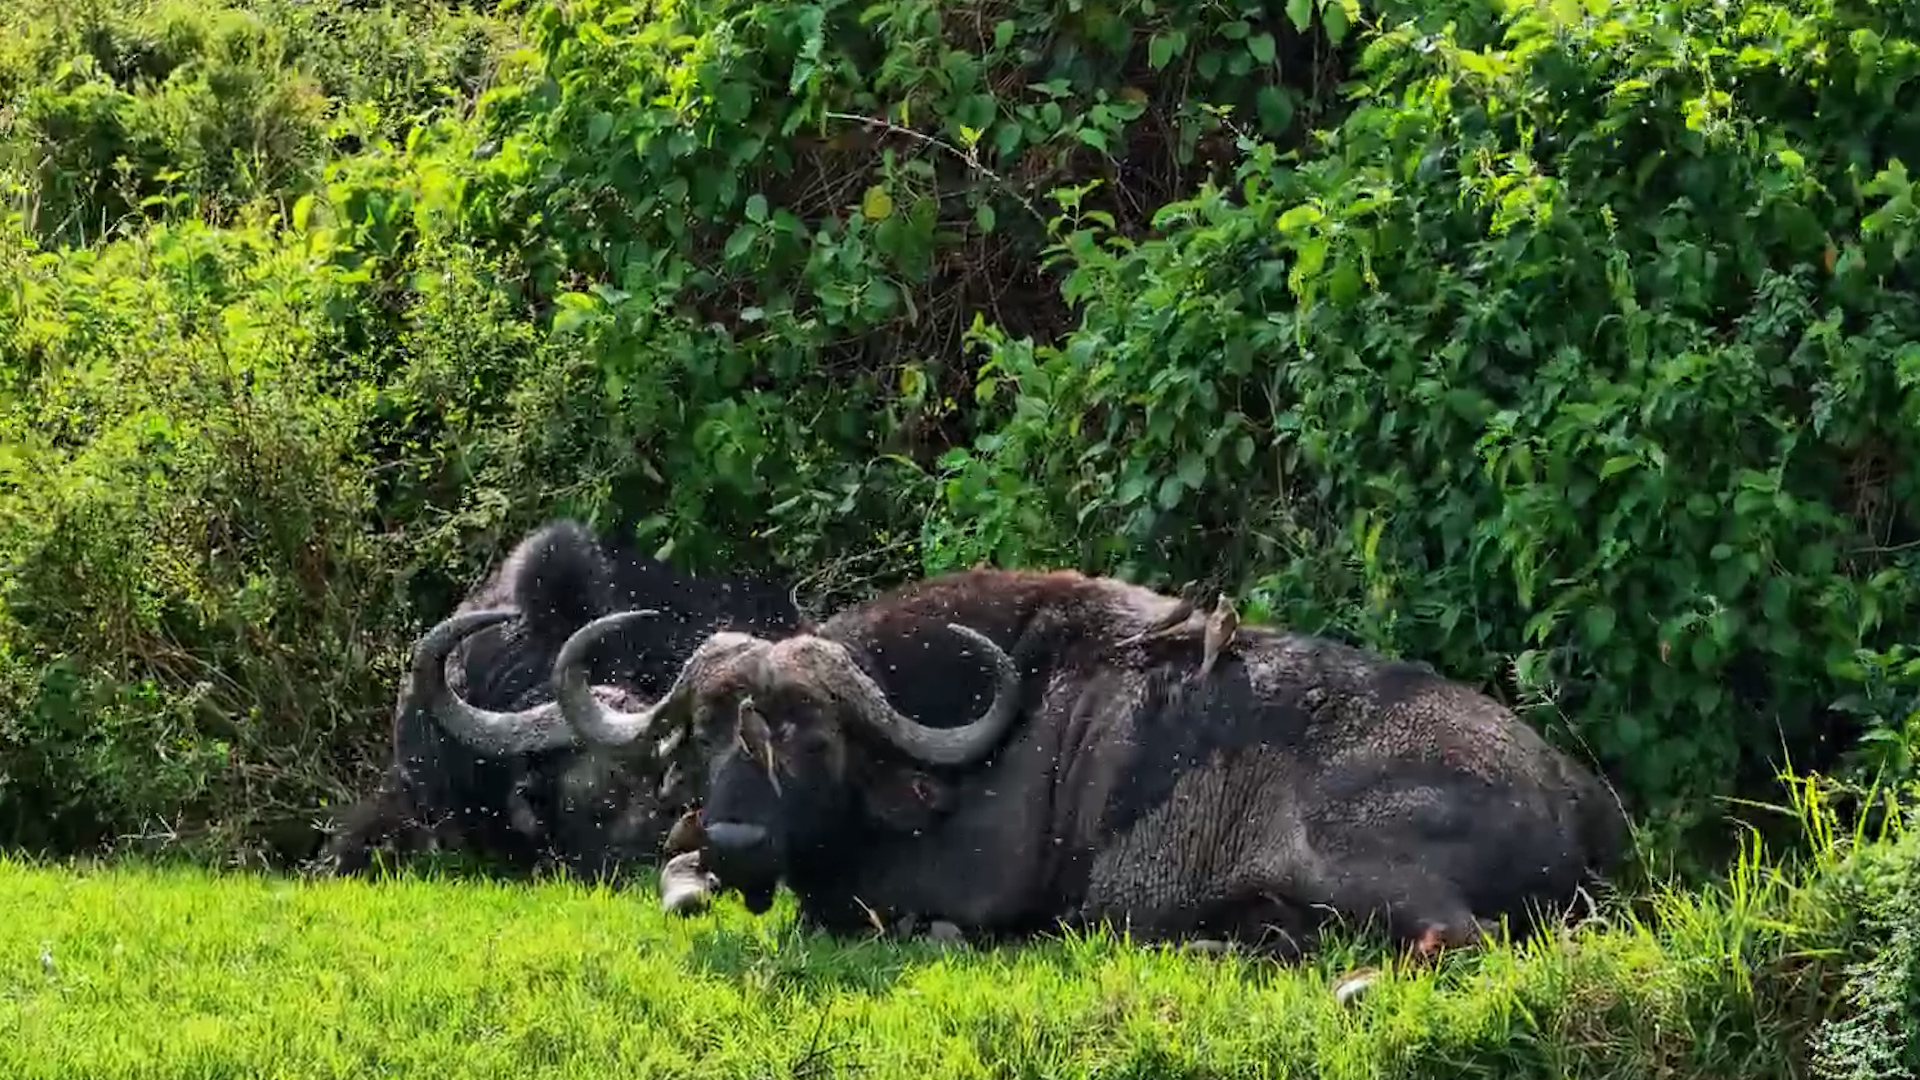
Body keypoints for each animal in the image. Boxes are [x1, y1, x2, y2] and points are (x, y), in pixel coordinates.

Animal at [536, 567, 1628, 960]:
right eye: (706, 732)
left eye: (812, 735)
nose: (735, 836)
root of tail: (1584, 800)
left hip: (1364, 860)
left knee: (1455, 939)